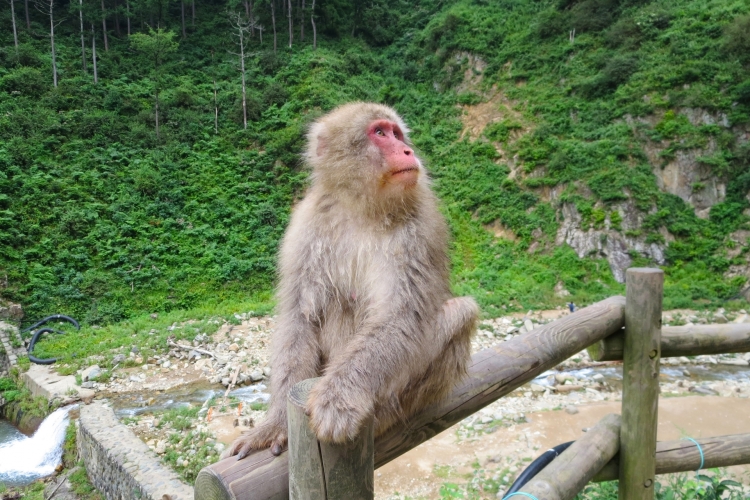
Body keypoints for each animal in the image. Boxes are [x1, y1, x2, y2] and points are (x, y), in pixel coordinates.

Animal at [225, 102, 482, 460]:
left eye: (397, 133)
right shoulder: (306, 229)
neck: (362, 208)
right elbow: (300, 316)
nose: (408, 151)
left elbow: (403, 314)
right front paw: (276, 422)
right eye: (380, 133)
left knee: (462, 311)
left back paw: (384, 415)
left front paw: (338, 398)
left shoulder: (419, 228)